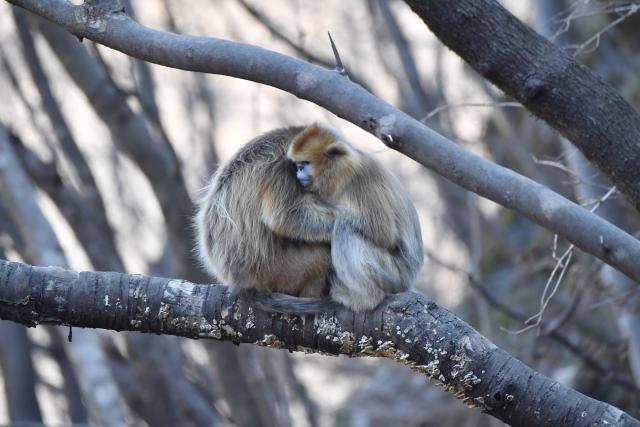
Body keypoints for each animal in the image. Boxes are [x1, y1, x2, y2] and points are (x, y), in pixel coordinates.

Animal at [287, 123, 424, 312]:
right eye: (298, 165)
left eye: (305, 164)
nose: (298, 172)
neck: (343, 172)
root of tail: (410, 278)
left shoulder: (362, 178)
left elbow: (384, 234)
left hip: (393, 274)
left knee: (344, 229)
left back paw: (366, 299)